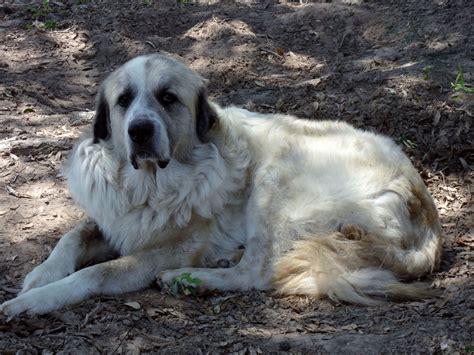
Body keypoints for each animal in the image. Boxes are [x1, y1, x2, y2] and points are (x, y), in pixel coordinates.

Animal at [0, 53, 444, 318]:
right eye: (124, 100)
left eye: (167, 98)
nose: (139, 131)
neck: (151, 184)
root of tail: (423, 203)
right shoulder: (116, 220)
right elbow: (73, 235)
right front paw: (41, 275)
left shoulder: (166, 250)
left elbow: (98, 273)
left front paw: (33, 300)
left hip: (275, 179)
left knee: (258, 272)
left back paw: (191, 279)